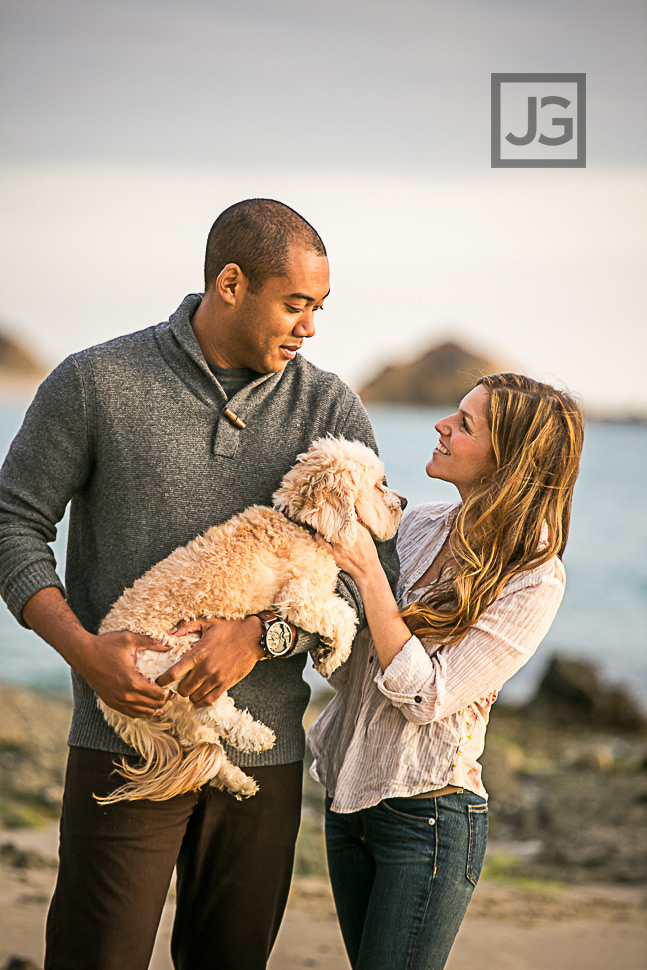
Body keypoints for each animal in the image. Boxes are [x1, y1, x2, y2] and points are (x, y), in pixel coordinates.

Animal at [97, 438, 404, 800]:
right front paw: (333, 656)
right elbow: (345, 616)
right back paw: (254, 737)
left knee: (202, 738)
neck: (300, 524)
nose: (403, 502)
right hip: (175, 652)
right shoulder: (301, 598)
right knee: (212, 710)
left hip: (174, 701)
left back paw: (237, 780)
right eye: (378, 485)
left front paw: (325, 651)